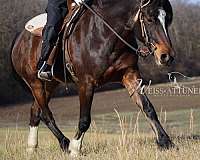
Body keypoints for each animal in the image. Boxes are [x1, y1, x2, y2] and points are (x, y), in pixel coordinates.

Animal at [12, 0, 175, 156]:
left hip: (50, 85)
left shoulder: (130, 75)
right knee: (45, 114)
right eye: (149, 19)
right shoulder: (86, 84)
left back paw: (31, 147)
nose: (166, 56)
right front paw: (75, 148)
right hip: (35, 83)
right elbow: (84, 119)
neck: (105, 35)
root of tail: (19, 39)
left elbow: (148, 108)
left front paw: (165, 142)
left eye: (168, 20)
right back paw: (64, 143)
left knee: (35, 111)